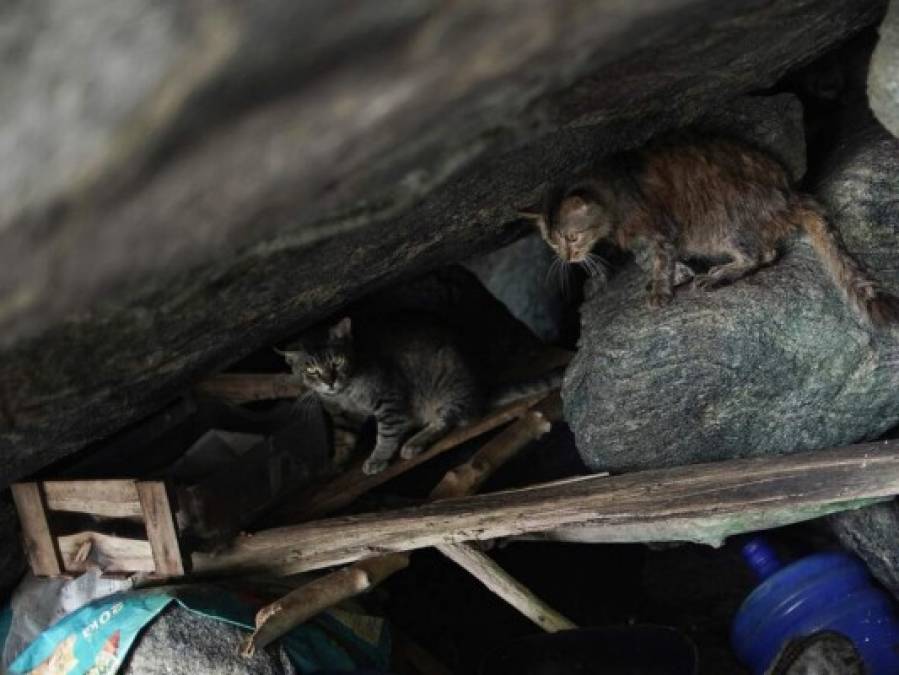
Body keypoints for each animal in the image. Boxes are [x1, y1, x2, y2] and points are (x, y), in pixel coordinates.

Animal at [520, 133, 899, 326]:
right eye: (552, 245)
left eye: (572, 237)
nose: (568, 258)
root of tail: (791, 194)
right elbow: (648, 258)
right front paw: (678, 273)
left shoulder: (658, 228)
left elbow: (658, 257)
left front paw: (662, 288)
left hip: (723, 221)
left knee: (763, 253)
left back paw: (719, 275)